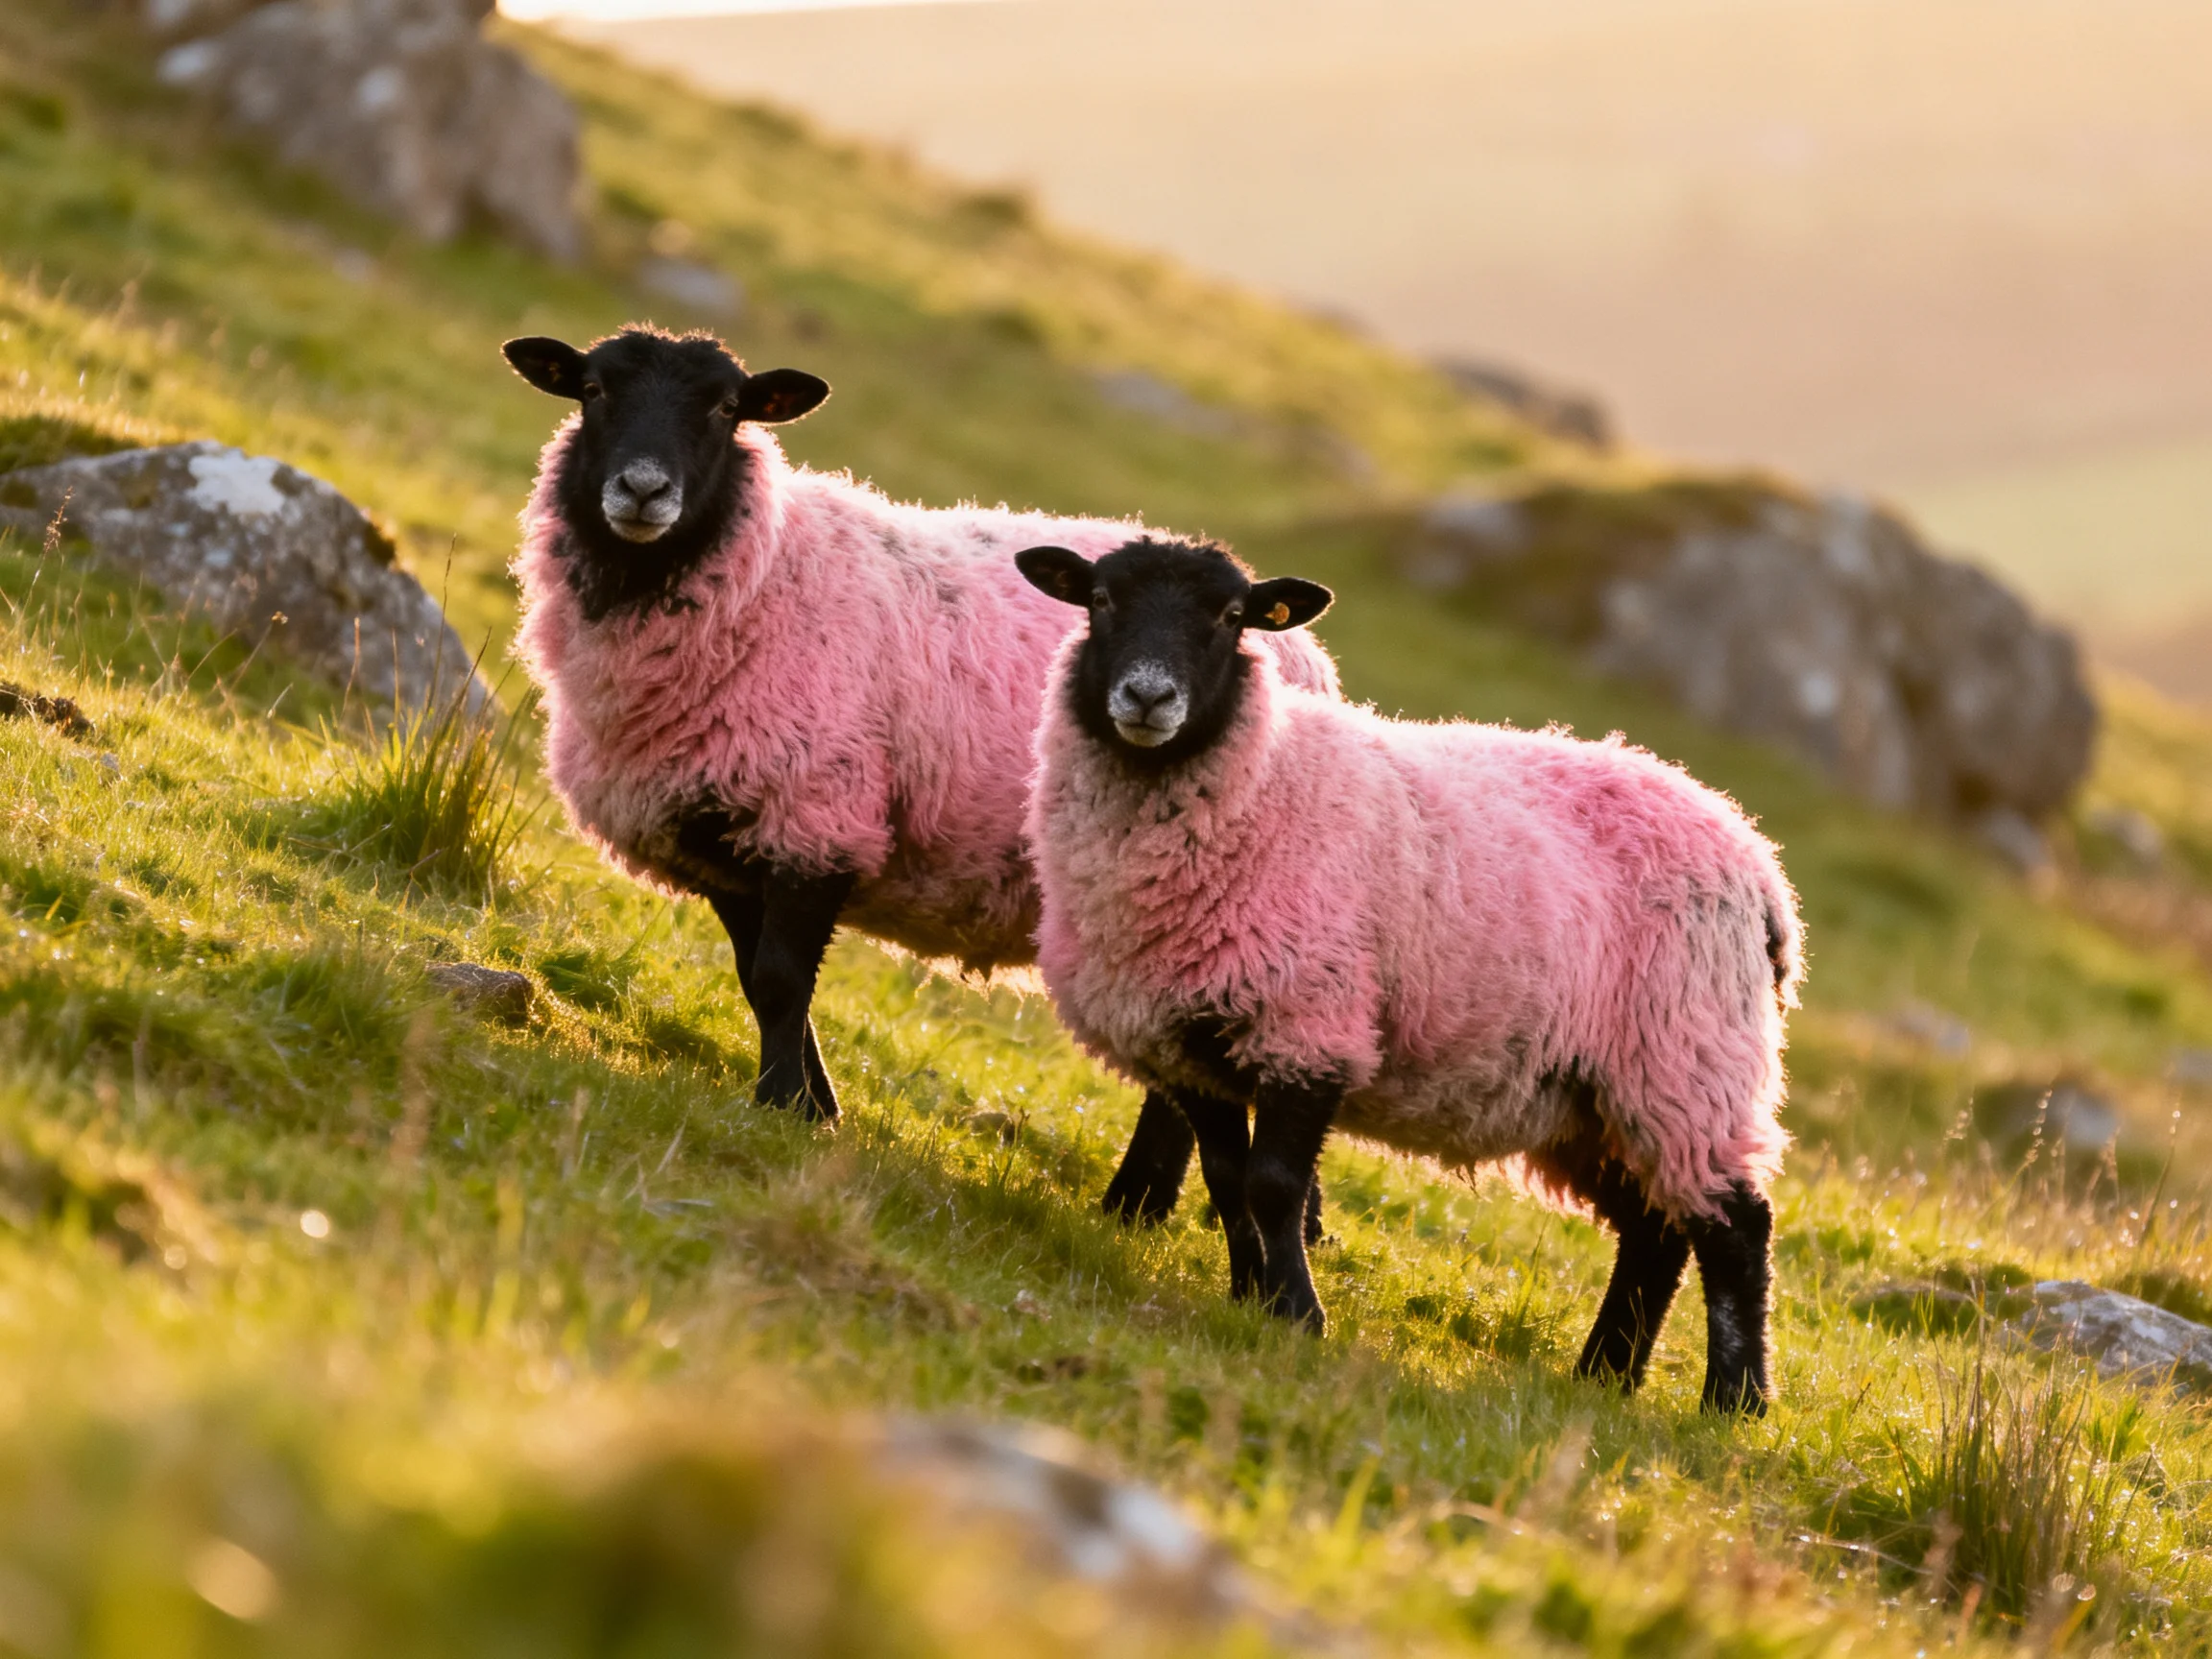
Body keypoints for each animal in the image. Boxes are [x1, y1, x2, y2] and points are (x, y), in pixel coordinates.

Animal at [501, 327, 1341, 1230]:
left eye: (727, 409)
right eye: (591, 391)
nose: (643, 490)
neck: (765, 570)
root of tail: (1305, 653)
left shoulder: (818, 815)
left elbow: (781, 978)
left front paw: (781, 1104)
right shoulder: (719, 837)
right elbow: (758, 981)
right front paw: (815, 1106)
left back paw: (1144, 1203)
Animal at [1015, 535, 1803, 1414]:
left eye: (1230, 616)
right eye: (1101, 601)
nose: (1148, 697)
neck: (1264, 780)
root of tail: (1758, 867)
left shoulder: (1308, 1022)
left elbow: (1273, 1183)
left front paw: (1296, 1314)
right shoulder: (1189, 1048)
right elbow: (1225, 1178)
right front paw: (1250, 1294)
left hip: (1686, 1056)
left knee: (1735, 1228)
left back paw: (1734, 1401)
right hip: (1593, 1094)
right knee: (1655, 1230)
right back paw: (1605, 1376)